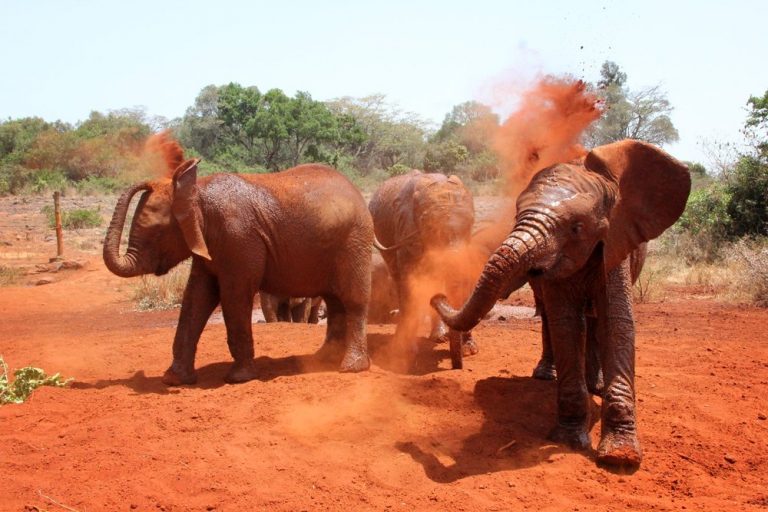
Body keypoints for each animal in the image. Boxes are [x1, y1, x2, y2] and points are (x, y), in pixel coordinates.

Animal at [103, 157, 373, 385]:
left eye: (157, 232)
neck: (196, 190)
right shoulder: (209, 244)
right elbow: (197, 297)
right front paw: (174, 380)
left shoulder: (238, 237)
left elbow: (234, 295)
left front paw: (238, 378)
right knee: (335, 301)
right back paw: (323, 360)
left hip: (354, 241)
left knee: (353, 300)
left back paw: (351, 367)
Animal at [369, 170, 477, 360]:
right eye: (431, 228)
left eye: (471, 224)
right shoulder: (406, 231)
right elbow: (410, 279)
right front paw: (406, 350)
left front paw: (469, 350)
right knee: (398, 279)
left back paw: (439, 337)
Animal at [431, 140, 691, 468]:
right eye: (516, 216)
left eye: (577, 227)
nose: (436, 296)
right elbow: (565, 324)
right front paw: (567, 440)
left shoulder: (616, 242)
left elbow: (616, 322)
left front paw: (621, 456)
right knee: (551, 316)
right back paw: (548, 377)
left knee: (594, 319)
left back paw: (596, 387)